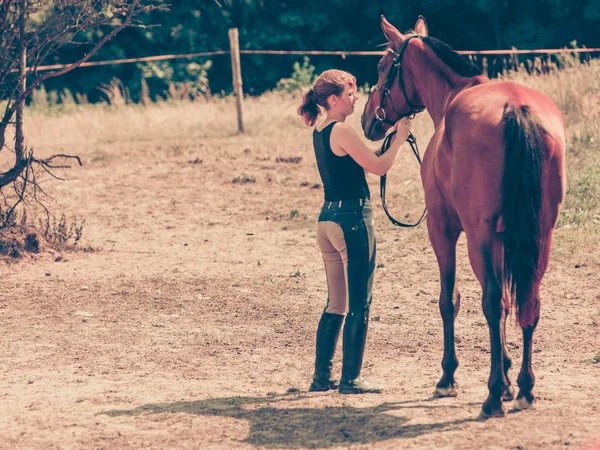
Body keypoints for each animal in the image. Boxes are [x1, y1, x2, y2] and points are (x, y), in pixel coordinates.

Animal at [360, 16, 568, 418]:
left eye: (381, 67)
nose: (367, 120)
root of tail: (517, 109)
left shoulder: (443, 230)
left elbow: (450, 299)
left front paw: (449, 378)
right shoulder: (505, 238)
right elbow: (507, 303)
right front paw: (507, 376)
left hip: (478, 237)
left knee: (492, 301)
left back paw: (492, 397)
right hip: (540, 237)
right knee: (528, 302)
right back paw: (524, 388)